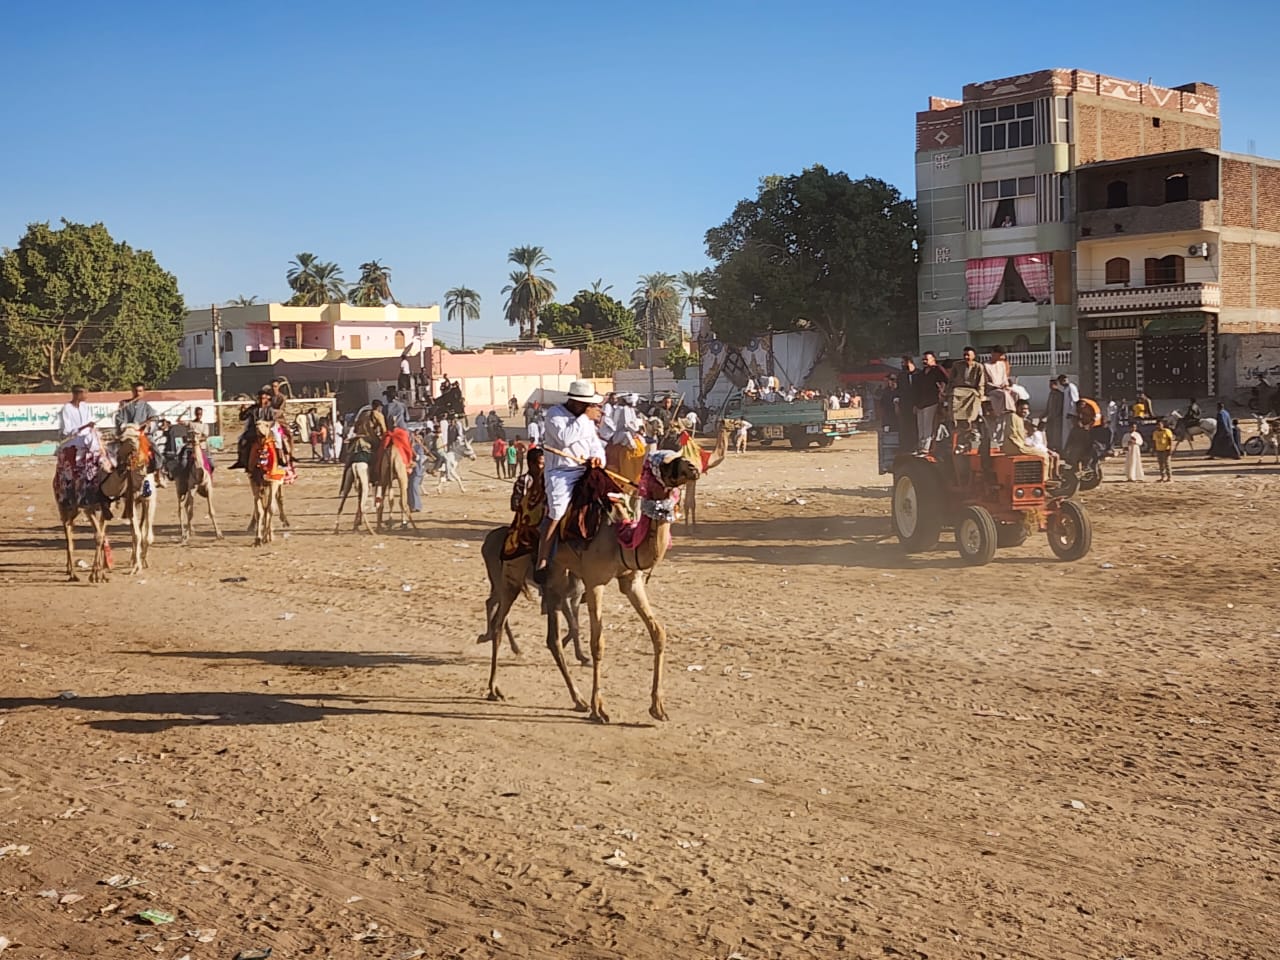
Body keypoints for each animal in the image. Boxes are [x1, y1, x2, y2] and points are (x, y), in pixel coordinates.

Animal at [473, 527, 586, 706]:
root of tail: (487, 541)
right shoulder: (564, 599)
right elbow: (573, 626)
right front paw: (579, 655)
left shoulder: (575, 599)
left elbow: (575, 626)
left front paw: (580, 655)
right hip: (502, 582)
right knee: (495, 609)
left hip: (502, 585)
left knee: (492, 605)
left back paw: (500, 642)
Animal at [540, 455, 701, 727]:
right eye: (664, 462)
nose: (693, 467)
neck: (618, 540)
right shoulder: (595, 582)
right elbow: (598, 643)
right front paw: (599, 710)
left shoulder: (631, 581)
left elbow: (658, 632)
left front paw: (658, 708)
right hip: (553, 569)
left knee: (555, 630)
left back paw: (577, 700)